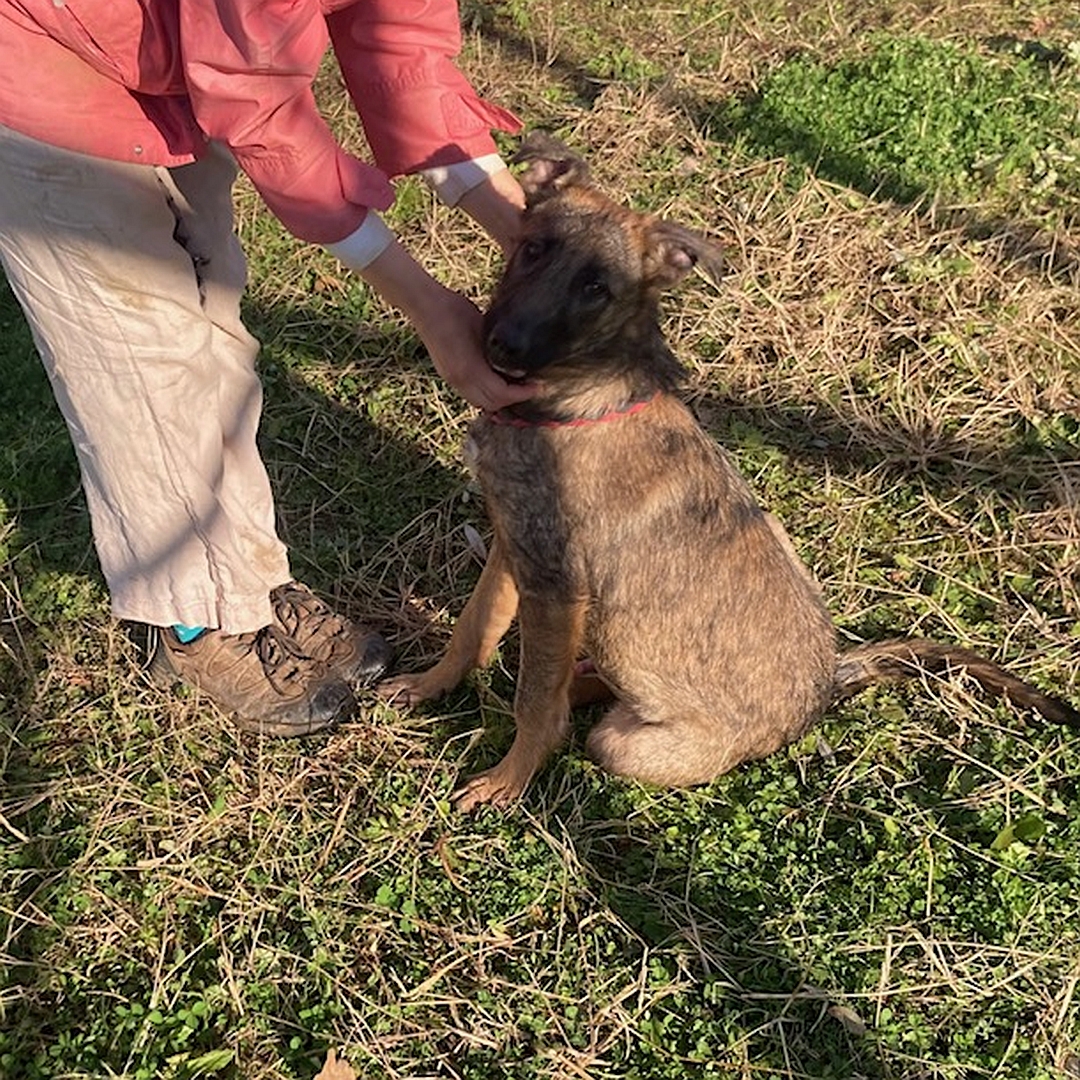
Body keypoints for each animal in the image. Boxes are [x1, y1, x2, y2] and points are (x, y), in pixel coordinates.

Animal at [375, 132, 1075, 812]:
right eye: (532, 249)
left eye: (597, 289)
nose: (501, 346)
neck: (575, 396)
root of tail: (826, 689)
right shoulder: (514, 547)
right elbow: (474, 629)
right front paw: (431, 685)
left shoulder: (555, 584)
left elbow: (532, 703)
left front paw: (509, 780)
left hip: (623, 743)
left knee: (581, 712)